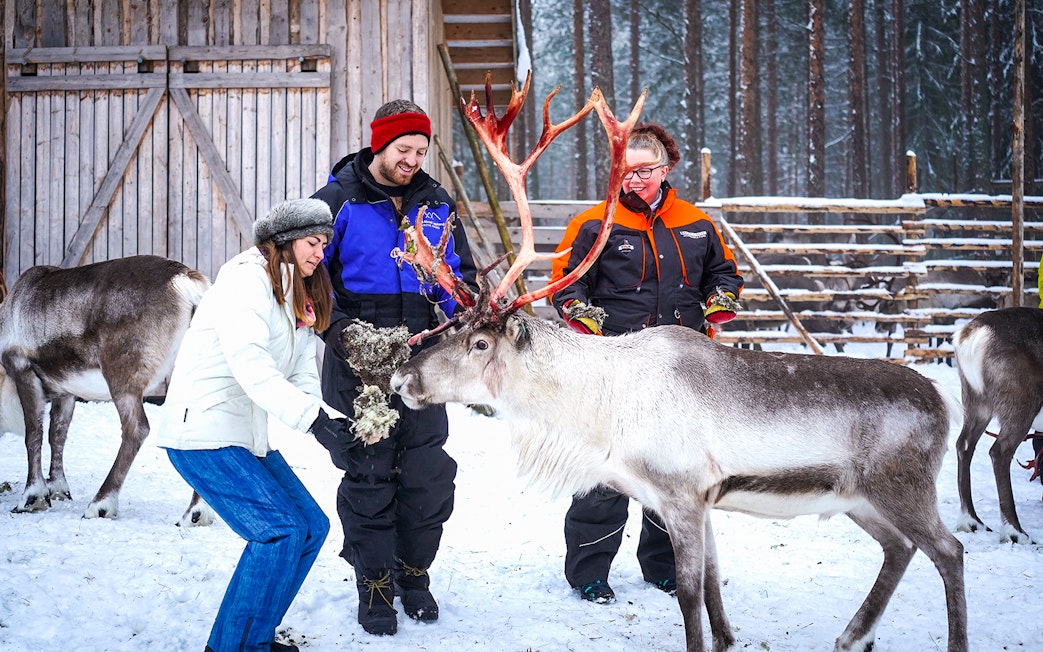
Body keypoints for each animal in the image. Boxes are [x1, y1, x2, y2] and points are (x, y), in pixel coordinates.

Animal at [0, 255, 214, 525]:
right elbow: (57, 433)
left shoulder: (23, 369)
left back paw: (100, 504)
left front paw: (32, 497)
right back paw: (197, 513)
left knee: (137, 429)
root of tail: (186, 280)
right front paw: (58, 488)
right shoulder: (65, 390)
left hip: (122, 378)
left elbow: (33, 434)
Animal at [383, 76, 968, 652]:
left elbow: (688, 593)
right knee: (900, 549)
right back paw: (852, 634)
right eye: (451, 327)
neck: (597, 413)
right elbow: (711, 584)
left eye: (481, 343)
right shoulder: (701, 499)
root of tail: (945, 401)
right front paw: (728, 639)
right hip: (861, 499)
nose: (400, 376)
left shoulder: (681, 493)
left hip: (902, 487)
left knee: (949, 550)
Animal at [952, 306, 1043, 543]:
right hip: (1021, 403)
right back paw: (1015, 532)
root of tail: (972, 334)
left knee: (964, 445)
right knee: (999, 452)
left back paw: (972, 521)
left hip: (976, 402)